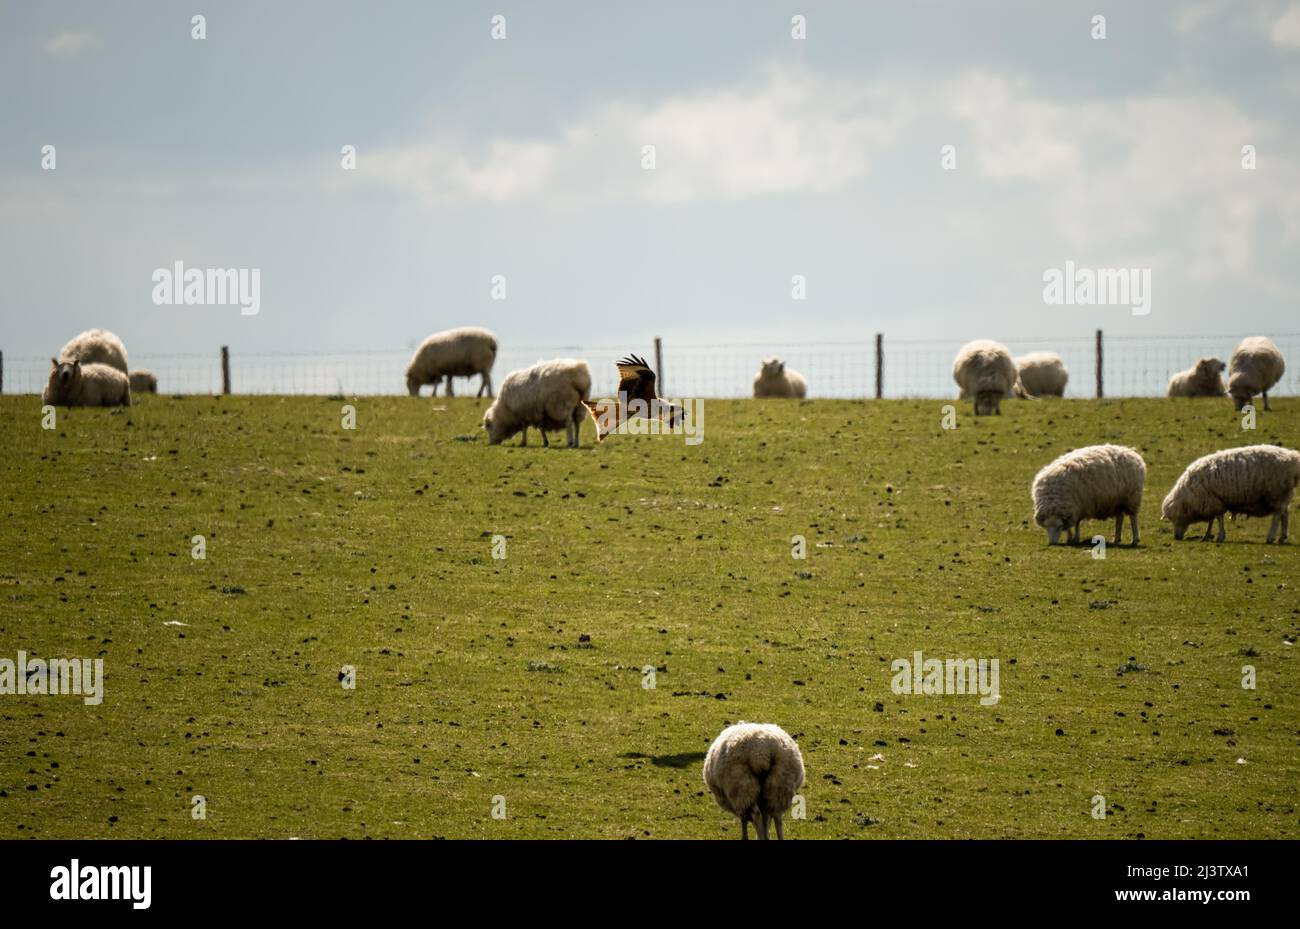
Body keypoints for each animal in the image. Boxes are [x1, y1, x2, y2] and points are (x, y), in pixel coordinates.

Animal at [1159, 444, 1300, 545]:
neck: (1189, 492)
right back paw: (1282, 537)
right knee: (1285, 515)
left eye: (1176, 519)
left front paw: (1220, 536)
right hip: (1282, 495)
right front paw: (1207, 535)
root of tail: (1293, 458)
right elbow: (1212, 520)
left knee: (1277, 516)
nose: (1176, 537)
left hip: (1276, 493)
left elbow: (1218, 518)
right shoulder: (1210, 502)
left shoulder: (1213, 501)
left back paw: (1270, 537)